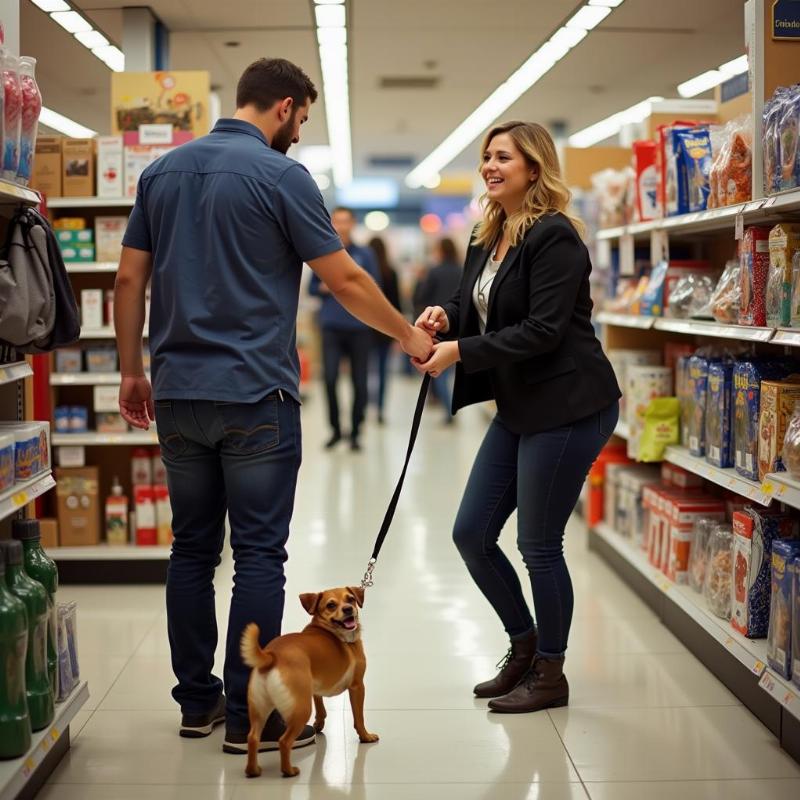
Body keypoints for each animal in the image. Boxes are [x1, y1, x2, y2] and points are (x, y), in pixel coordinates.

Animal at [239, 584, 380, 780]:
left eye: (351, 599)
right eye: (331, 605)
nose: (348, 609)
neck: (330, 630)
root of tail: (271, 656)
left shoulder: (315, 687)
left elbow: (320, 708)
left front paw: (319, 724)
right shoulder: (358, 686)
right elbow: (359, 718)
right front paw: (365, 736)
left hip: (258, 708)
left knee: (252, 738)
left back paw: (253, 770)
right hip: (301, 709)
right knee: (284, 741)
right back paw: (288, 770)